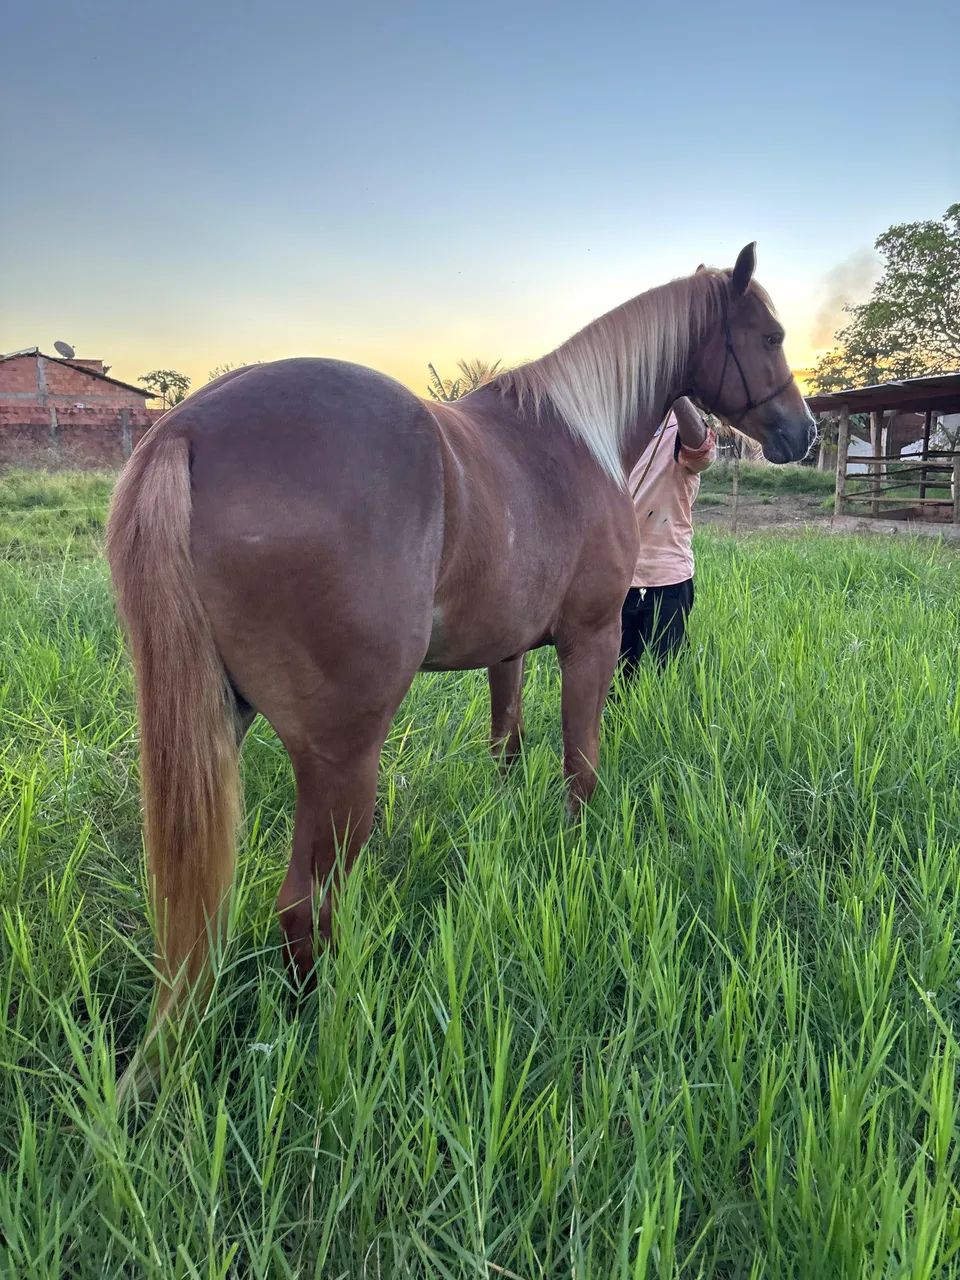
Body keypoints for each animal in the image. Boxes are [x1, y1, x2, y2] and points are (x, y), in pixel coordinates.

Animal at [107, 242, 815, 1073]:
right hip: (343, 758)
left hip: (218, 724)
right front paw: (577, 854)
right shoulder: (592, 641)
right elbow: (580, 763)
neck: (577, 438)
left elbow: (506, 747)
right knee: (305, 907)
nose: (803, 433)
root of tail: (185, 428)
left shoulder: (506, 652)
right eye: (769, 335)